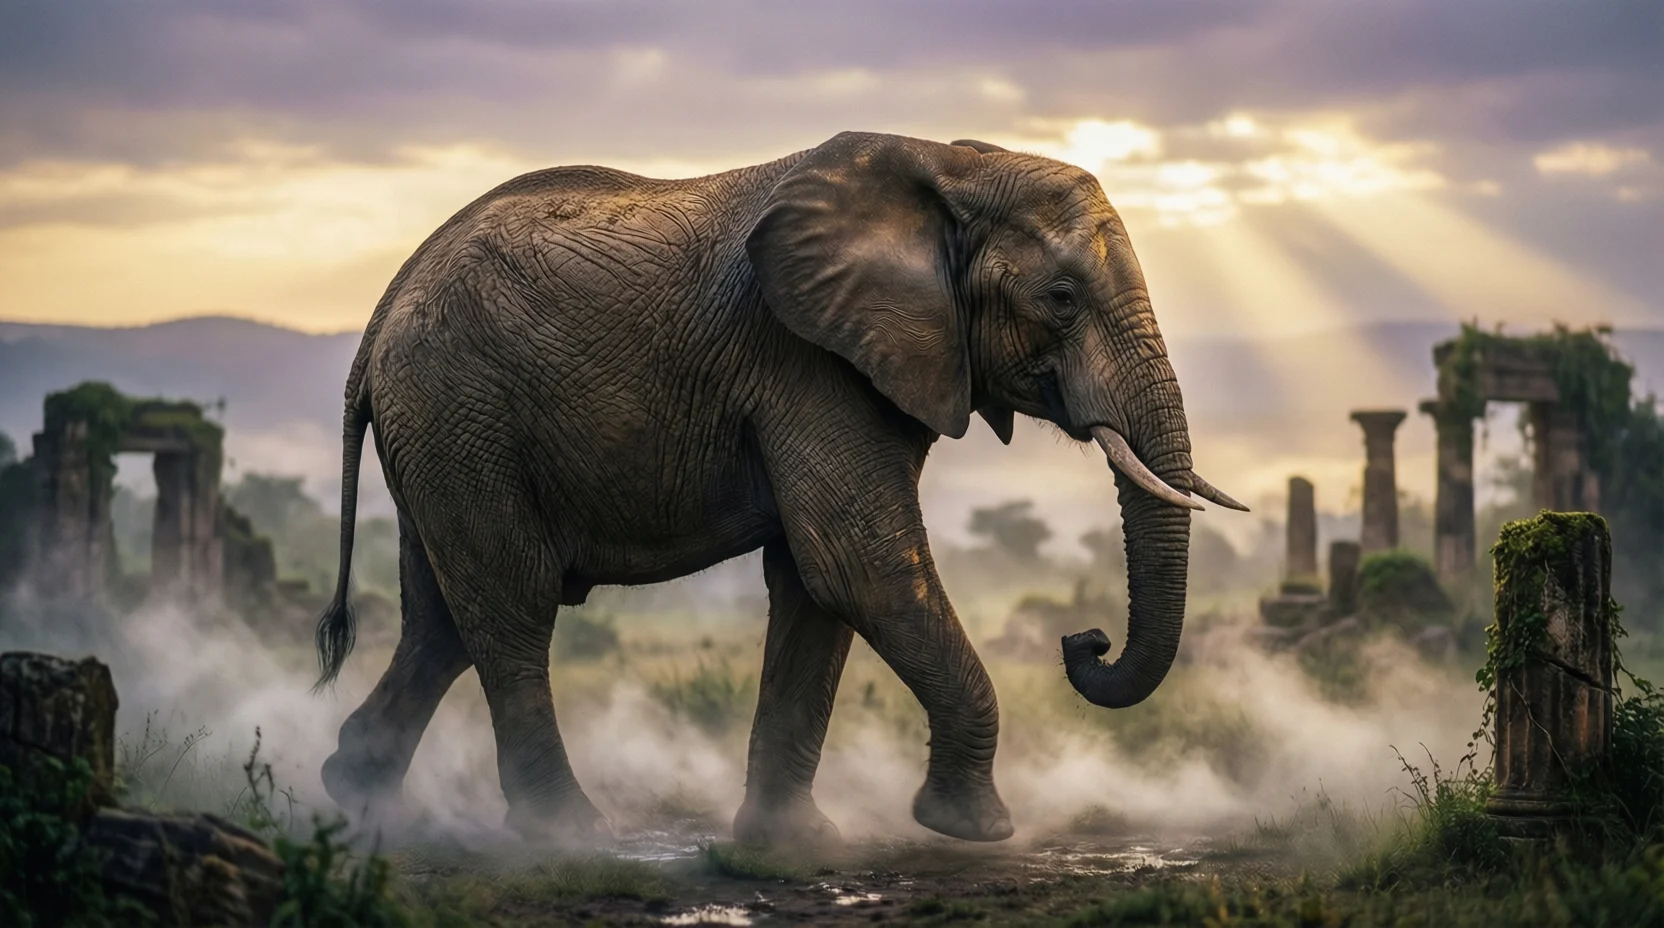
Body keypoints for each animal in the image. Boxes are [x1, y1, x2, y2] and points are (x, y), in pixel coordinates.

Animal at [312, 130, 1246, 847]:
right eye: (1060, 297)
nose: (1084, 641)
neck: (954, 165)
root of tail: (381, 313)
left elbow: (815, 585)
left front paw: (792, 846)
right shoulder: (807, 362)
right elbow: (860, 567)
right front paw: (973, 832)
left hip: (443, 431)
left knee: (442, 618)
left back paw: (356, 794)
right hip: (459, 409)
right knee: (512, 602)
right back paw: (565, 835)